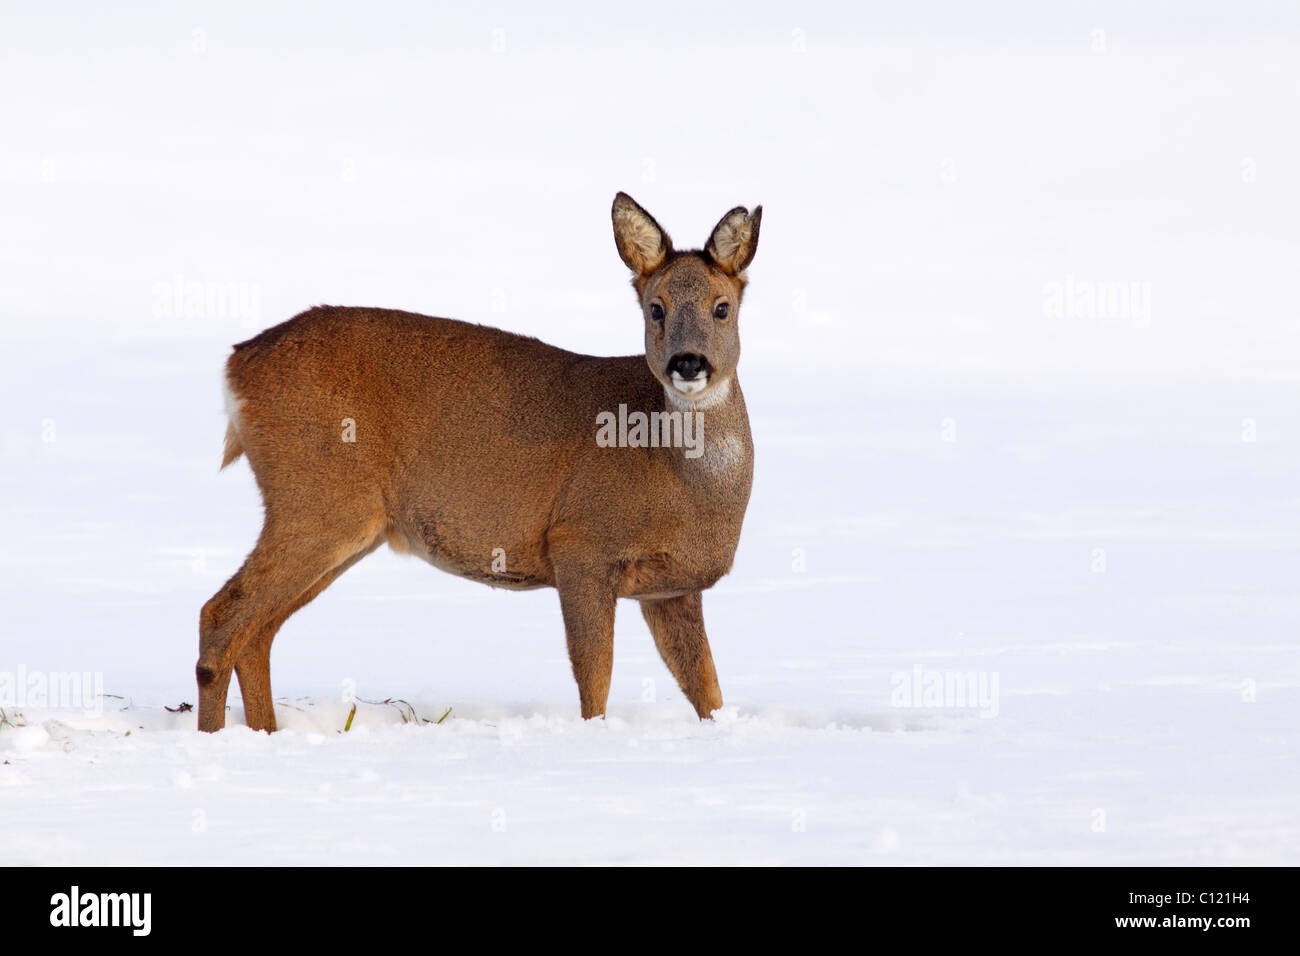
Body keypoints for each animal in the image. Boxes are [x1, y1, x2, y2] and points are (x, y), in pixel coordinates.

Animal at [196, 193, 761, 732]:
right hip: (318, 497)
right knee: (221, 615)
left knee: (257, 631)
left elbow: (707, 689)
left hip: (348, 521)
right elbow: (595, 679)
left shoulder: (673, 588)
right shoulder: (580, 543)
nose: (688, 363)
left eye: (722, 307)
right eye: (655, 308)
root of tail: (237, 364)